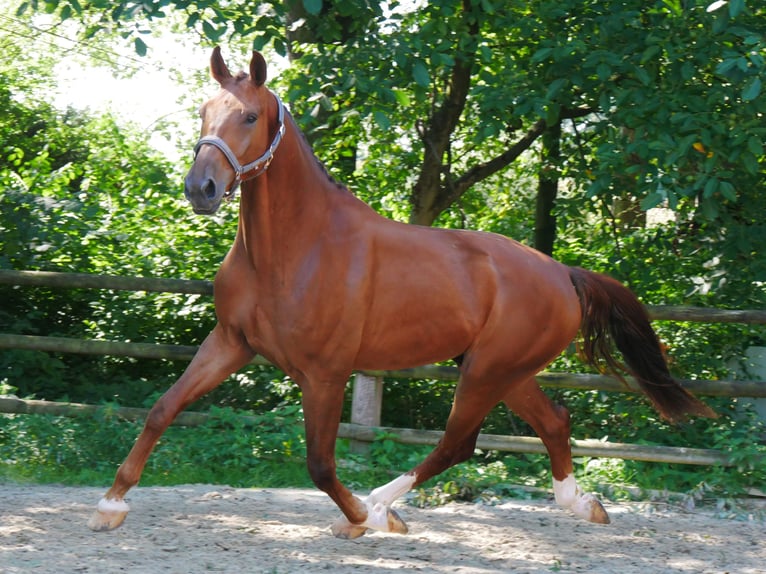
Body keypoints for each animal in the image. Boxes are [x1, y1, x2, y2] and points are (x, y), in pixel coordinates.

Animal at [87, 48, 716, 540]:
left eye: (248, 114)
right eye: (203, 111)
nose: (202, 189)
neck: (294, 249)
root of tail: (562, 273)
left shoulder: (325, 372)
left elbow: (319, 463)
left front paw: (360, 518)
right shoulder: (231, 343)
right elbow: (163, 409)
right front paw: (110, 505)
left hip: (487, 370)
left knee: (457, 443)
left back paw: (384, 507)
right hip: (504, 370)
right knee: (553, 422)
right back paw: (581, 504)